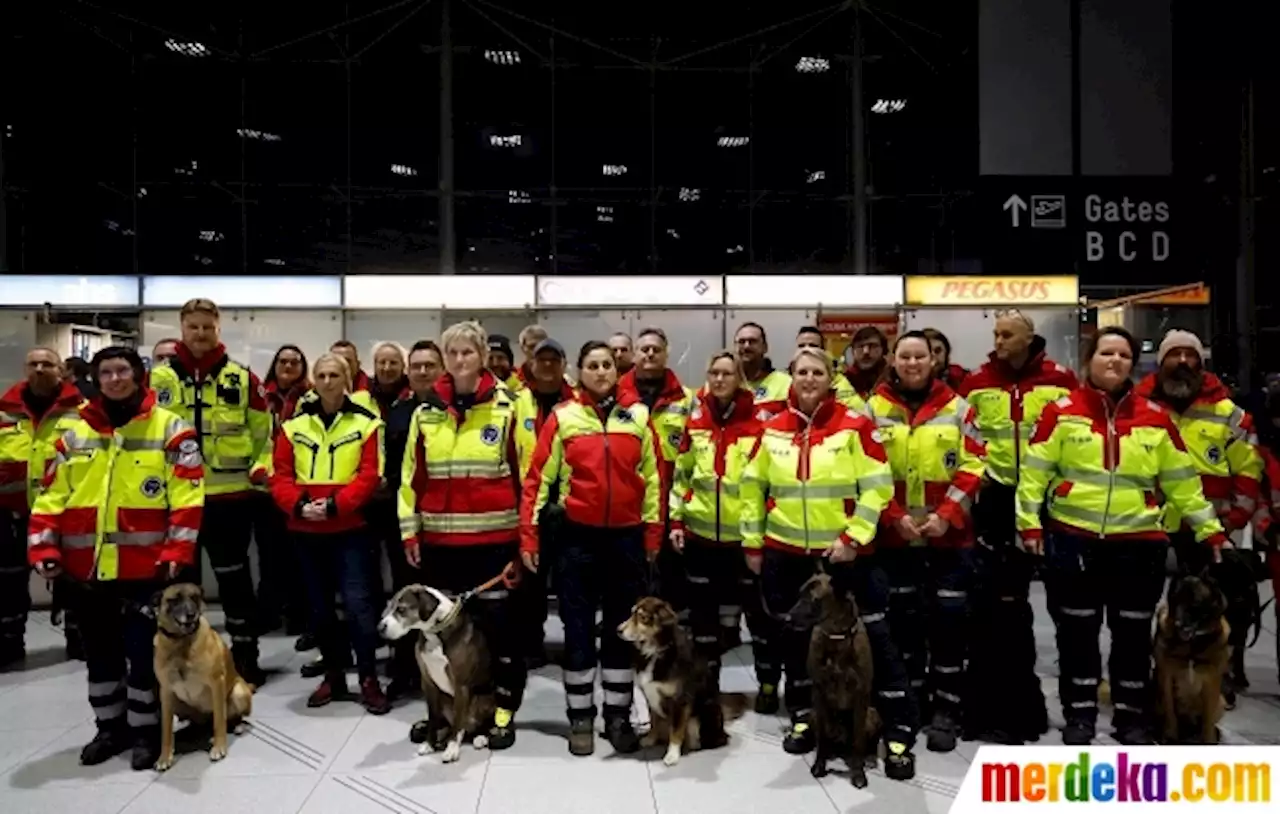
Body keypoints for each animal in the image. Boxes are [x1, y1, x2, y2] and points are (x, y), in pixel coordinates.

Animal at [152, 586, 254, 767]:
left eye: (194, 597)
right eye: (174, 600)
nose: (191, 614)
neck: (180, 643)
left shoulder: (217, 683)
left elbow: (219, 721)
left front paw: (219, 747)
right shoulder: (166, 692)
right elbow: (166, 730)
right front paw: (164, 757)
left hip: (238, 692)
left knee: (229, 718)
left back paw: (236, 726)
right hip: (178, 704)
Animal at [376, 586, 491, 762]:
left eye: (401, 609)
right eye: (388, 607)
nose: (380, 628)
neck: (434, 631)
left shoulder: (461, 685)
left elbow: (458, 721)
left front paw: (452, 749)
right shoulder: (428, 683)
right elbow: (433, 719)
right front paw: (429, 743)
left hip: (481, 699)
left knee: (472, 724)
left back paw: (479, 737)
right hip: (444, 699)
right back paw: (443, 737)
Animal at [619, 593, 732, 767]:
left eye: (643, 618)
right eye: (632, 614)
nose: (618, 630)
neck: (656, 651)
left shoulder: (680, 700)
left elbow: (677, 730)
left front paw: (672, 754)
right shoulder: (652, 696)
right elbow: (654, 721)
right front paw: (650, 739)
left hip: (705, 711)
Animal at [788, 573, 880, 788]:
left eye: (814, 600)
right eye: (798, 595)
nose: (786, 619)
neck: (836, 636)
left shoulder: (861, 694)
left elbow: (858, 742)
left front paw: (858, 774)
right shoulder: (819, 692)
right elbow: (822, 738)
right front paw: (819, 766)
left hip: (873, 714)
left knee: (865, 742)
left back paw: (869, 757)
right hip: (814, 714)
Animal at [1152, 573, 1228, 742]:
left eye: (1195, 603)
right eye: (1175, 599)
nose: (1178, 624)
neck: (1192, 646)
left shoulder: (1212, 682)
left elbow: (1207, 720)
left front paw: (1209, 740)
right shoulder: (1166, 678)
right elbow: (1170, 712)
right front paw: (1170, 736)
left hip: (1221, 701)